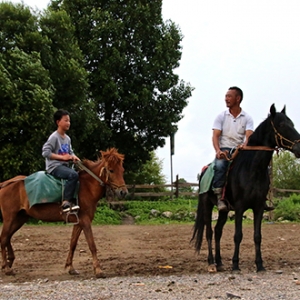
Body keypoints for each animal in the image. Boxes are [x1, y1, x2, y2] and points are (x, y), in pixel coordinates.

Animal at [0, 147, 127, 276]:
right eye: (111, 170)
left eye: (122, 170)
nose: (123, 192)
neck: (87, 187)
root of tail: (5, 184)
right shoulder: (85, 221)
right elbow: (92, 244)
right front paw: (98, 270)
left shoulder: (79, 222)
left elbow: (73, 243)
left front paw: (70, 267)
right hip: (10, 218)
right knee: (4, 238)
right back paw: (6, 267)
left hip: (19, 218)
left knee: (8, 237)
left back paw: (9, 262)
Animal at [191, 104, 300, 274]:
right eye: (282, 125)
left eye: (292, 124)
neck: (252, 169)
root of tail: (204, 171)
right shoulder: (240, 207)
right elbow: (238, 235)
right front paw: (235, 265)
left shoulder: (259, 207)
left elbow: (257, 236)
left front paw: (260, 265)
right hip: (207, 205)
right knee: (209, 232)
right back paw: (211, 262)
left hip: (224, 211)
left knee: (218, 231)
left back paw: (220, 262)